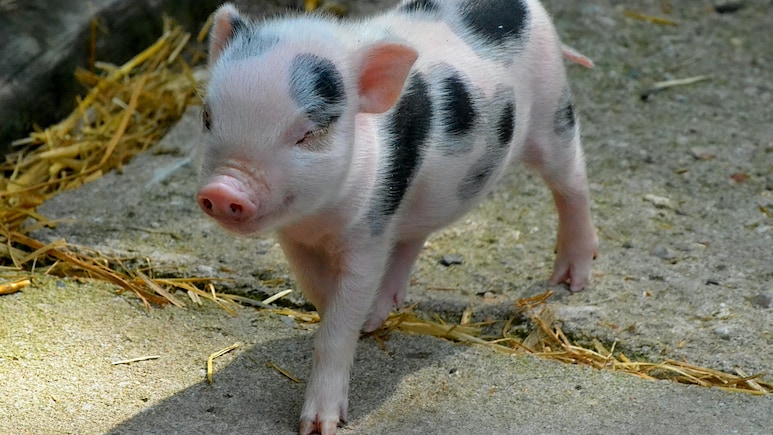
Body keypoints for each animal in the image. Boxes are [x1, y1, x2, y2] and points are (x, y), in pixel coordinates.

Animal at [196, 1, 598, 433]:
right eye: (207, 117)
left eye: (308, 133)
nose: (222, 190)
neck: (320, 219)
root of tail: (527, 7)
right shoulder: (296, 238)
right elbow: (319, 291)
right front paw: (363, 319)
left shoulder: (368, 234)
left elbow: (338, 323)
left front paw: (319, 426)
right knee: (414, 235)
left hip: (552, 110)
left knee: (572, 181)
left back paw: (570, 281)